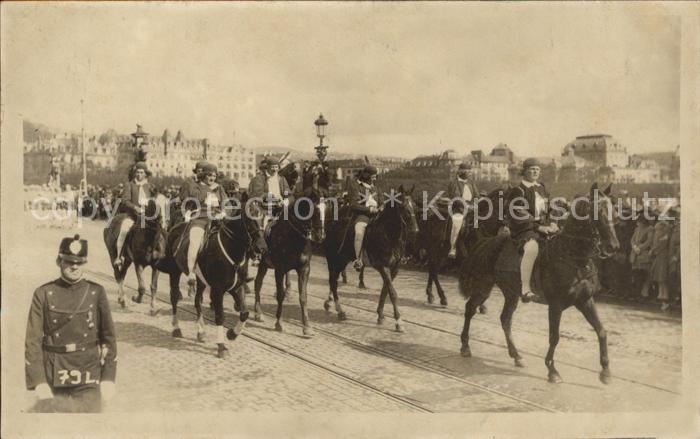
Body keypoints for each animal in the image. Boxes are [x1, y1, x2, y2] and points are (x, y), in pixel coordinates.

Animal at [158, 194, 266, 360]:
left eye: (265, 216)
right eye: (249, 218)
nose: (261, 247)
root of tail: (174, 228)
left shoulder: (237, 287)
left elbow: (244, 313)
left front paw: (232, 334)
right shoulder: (217, 290)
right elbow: (220, 316)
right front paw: (221, 346)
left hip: (201, 281)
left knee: (197, 301)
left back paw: (201, 332)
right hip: (174, 272)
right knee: (174, 297)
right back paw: (176, 328)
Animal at [252, 163, 330, 338]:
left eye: (326, 209)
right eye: (314, 209)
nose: (320, 236)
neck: (293, 236)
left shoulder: (304, 269)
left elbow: (303, 297)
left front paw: (307, 327)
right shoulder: (280, 269)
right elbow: (280, 295)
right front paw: (278, 323)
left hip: (264, 264)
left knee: (257, 282)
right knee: (257, 283)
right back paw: (258, 313)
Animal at [460, 182, 616, 384]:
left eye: (614, 210)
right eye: (597, 211)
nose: (612, 246)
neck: (574, 258)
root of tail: (487, 242)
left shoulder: (585, 301)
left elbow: (602, 331)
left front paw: (605, 371)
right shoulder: (556, 305)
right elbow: (554, 337)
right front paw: (552, 370)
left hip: (511, 293)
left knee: (505, 319)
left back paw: (517, 356)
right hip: (483, 287)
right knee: (470, 309)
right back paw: (465, 346)